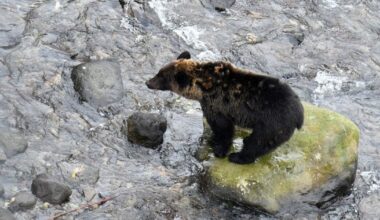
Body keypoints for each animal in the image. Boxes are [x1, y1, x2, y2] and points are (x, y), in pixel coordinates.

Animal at [147, 50, 304, 163]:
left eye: (161, 77)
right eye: (159, 72)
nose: (148, 82)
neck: (202, 88)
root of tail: (299, 114)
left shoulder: (217, 104)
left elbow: (223, 128)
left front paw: (219, 149)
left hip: (272, 122)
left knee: (259, 141)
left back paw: (238, 157)